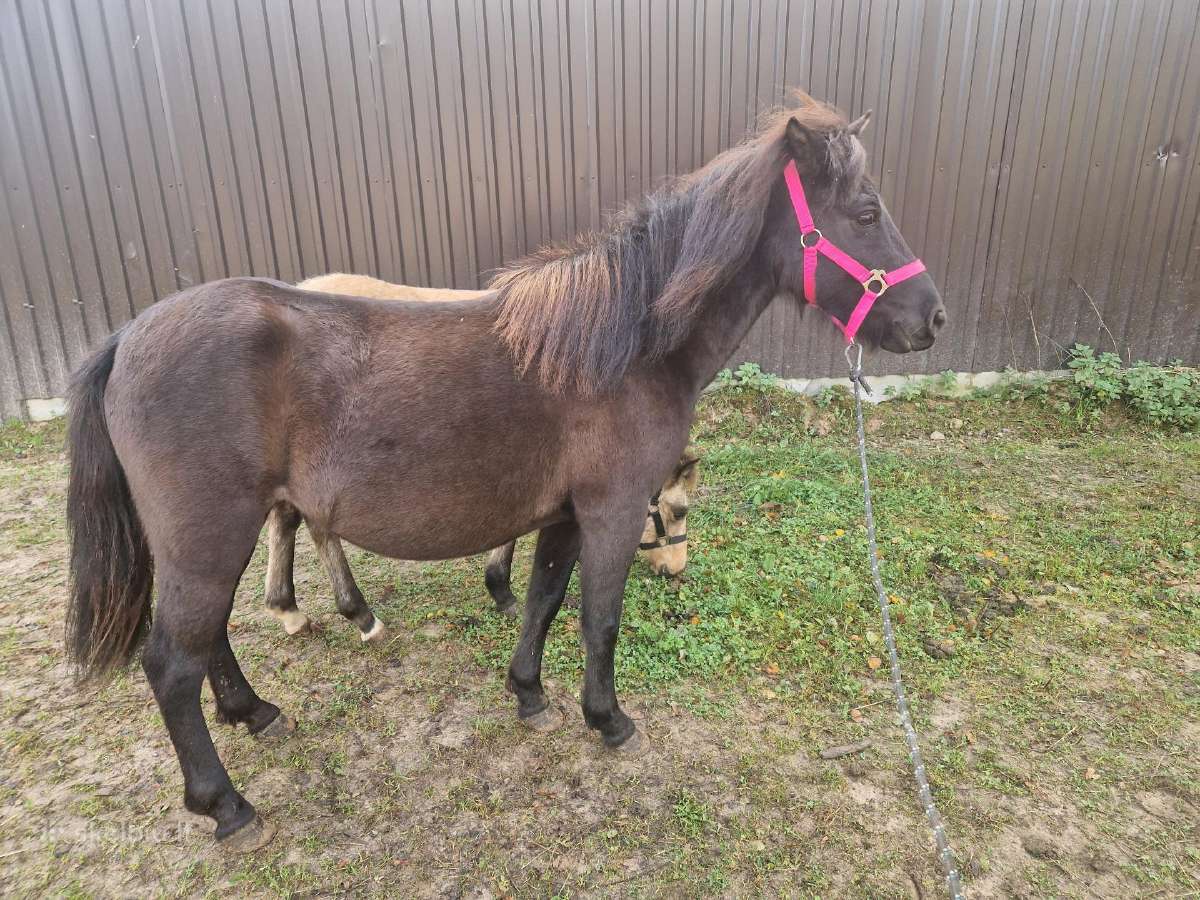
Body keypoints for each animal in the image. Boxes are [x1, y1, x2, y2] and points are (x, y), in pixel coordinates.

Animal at [261, 274, 701, 640]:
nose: (676, 569)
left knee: (285, 518)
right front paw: (502, 590)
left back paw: (288, 610)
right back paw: (358, 614)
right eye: (677, 511)